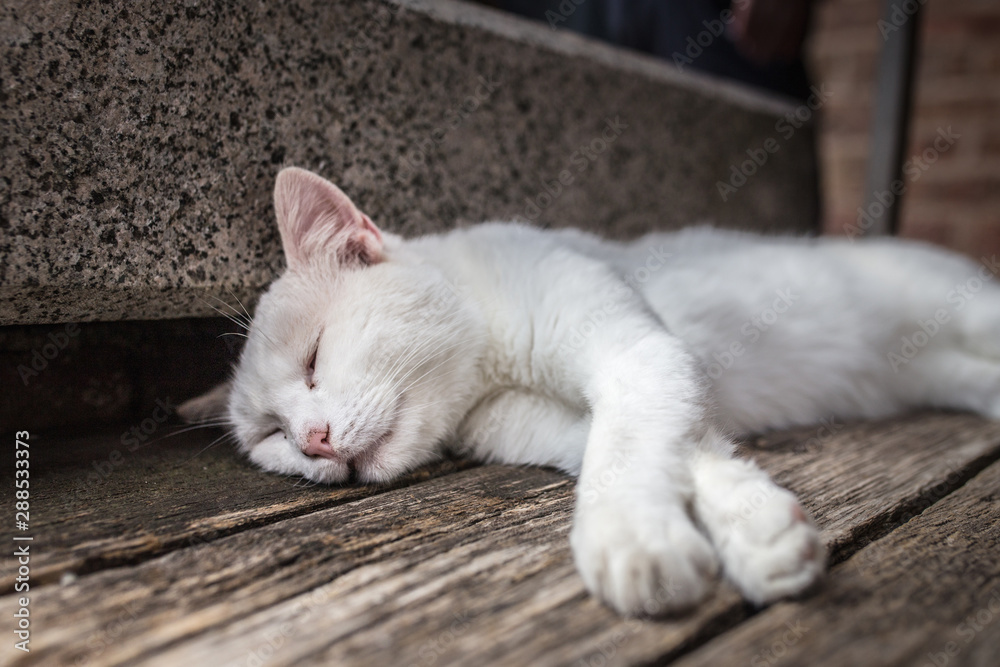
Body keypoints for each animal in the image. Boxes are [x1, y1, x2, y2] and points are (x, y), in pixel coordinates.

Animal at [180, 166, 1000, 616]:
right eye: (273, 435)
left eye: (315, 360)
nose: (314, 441)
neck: (487, 365)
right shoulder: (572, 421)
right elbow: (682, 455)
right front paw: (761, 534)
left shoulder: (635, 354)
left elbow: (628, 449)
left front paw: (632, 542)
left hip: (964, 308)